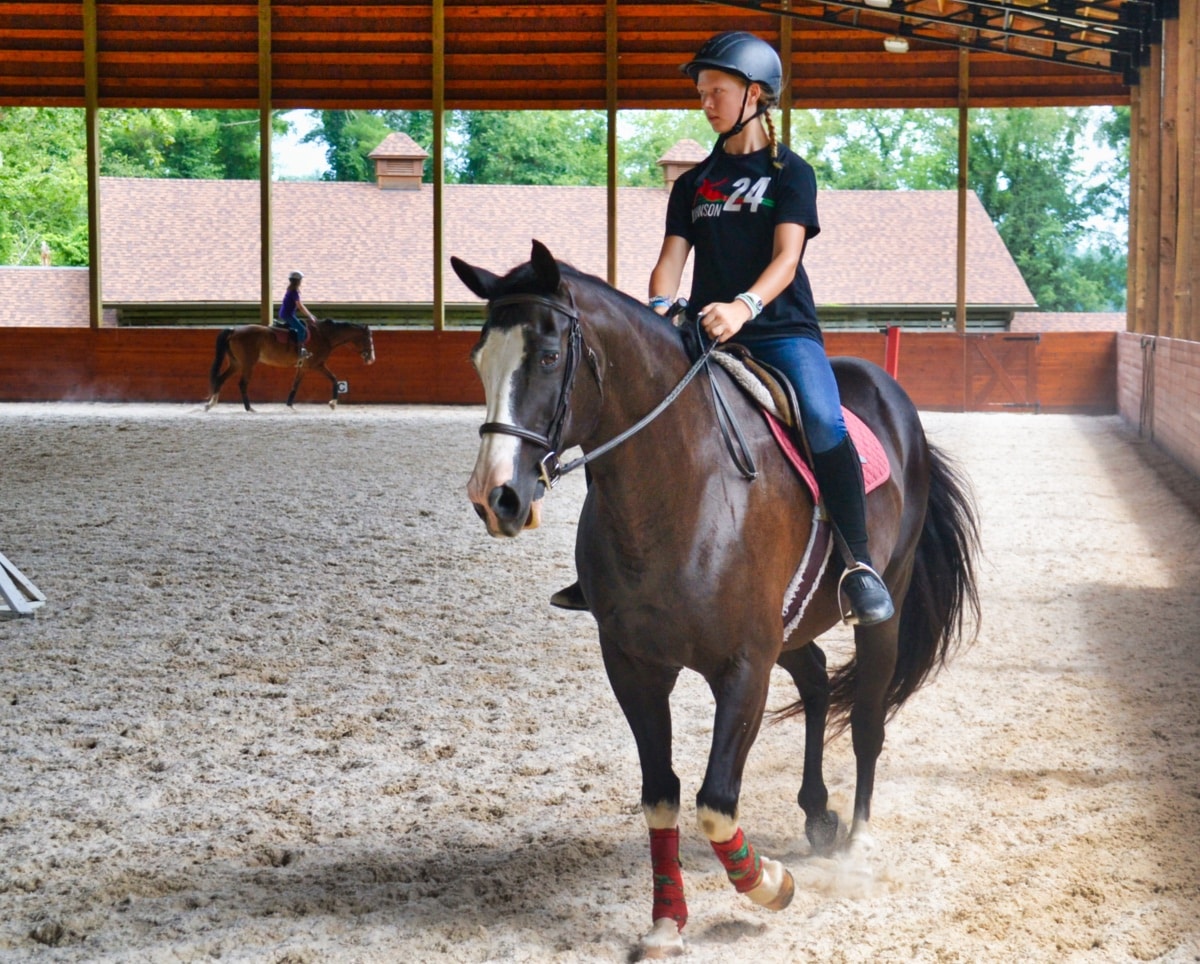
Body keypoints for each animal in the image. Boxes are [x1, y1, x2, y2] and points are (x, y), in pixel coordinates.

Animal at [204, 314, 374, 408]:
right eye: (368, 339)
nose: (371, 359)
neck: (324, 336)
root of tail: (234, 330)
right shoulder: (317, 365)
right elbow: (334, 379)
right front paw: (333, 403)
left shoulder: (304, 367)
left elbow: (296, 384)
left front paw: (290, 404)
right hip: (247, 364)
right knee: (242, 384)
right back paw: (249, 408)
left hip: (236, 363)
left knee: (220, 378)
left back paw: (211, 404)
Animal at [451, 241, 974, 955]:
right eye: (479, 359)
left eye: (550, 356)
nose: (494, 497)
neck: (680, 486)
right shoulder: (635, 665)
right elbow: (663, 795)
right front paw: (666, 922)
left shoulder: (744, 665)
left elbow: (717, 802)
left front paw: (770, 884)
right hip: (794, 624)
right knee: (816, 680)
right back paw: (818, 814)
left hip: (879, 611)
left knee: (868, 717)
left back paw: (857, 843)